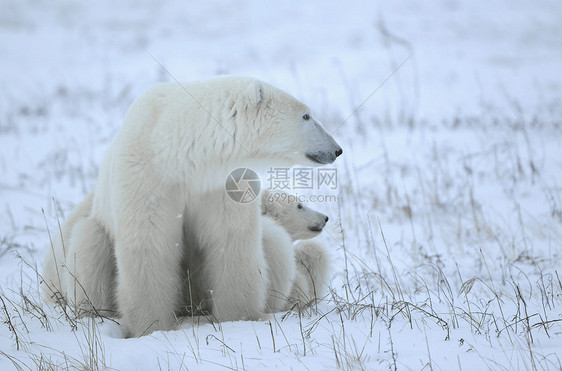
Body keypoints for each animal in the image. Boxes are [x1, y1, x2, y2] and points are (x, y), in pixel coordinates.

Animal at [42, 75, 342, 338]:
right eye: (306, 116)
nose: (337, 149)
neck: (180, 153)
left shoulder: (222, 185)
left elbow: (232, 245)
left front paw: (239, 319)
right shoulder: (146, 176)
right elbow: (149, 246)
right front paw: (151, 327)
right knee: (88, 243)